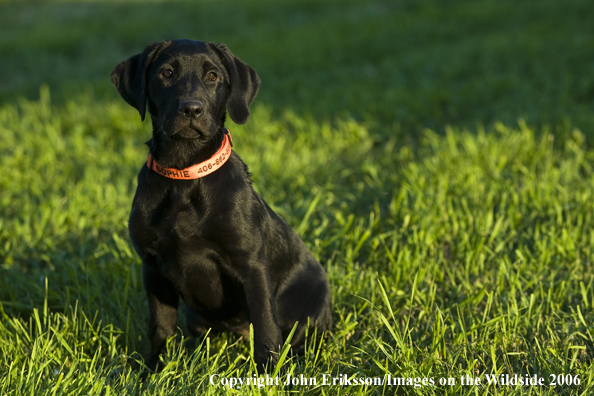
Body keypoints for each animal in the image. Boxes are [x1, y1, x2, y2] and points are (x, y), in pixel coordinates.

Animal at [110, 38, 330, 372]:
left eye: (212, 76)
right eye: (166, 73)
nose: (191, 108)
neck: (184, 176)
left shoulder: (250, 264)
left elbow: (266, 327)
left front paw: (267, 374)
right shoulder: (153, 266)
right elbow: (160, 326)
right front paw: (155, 370)